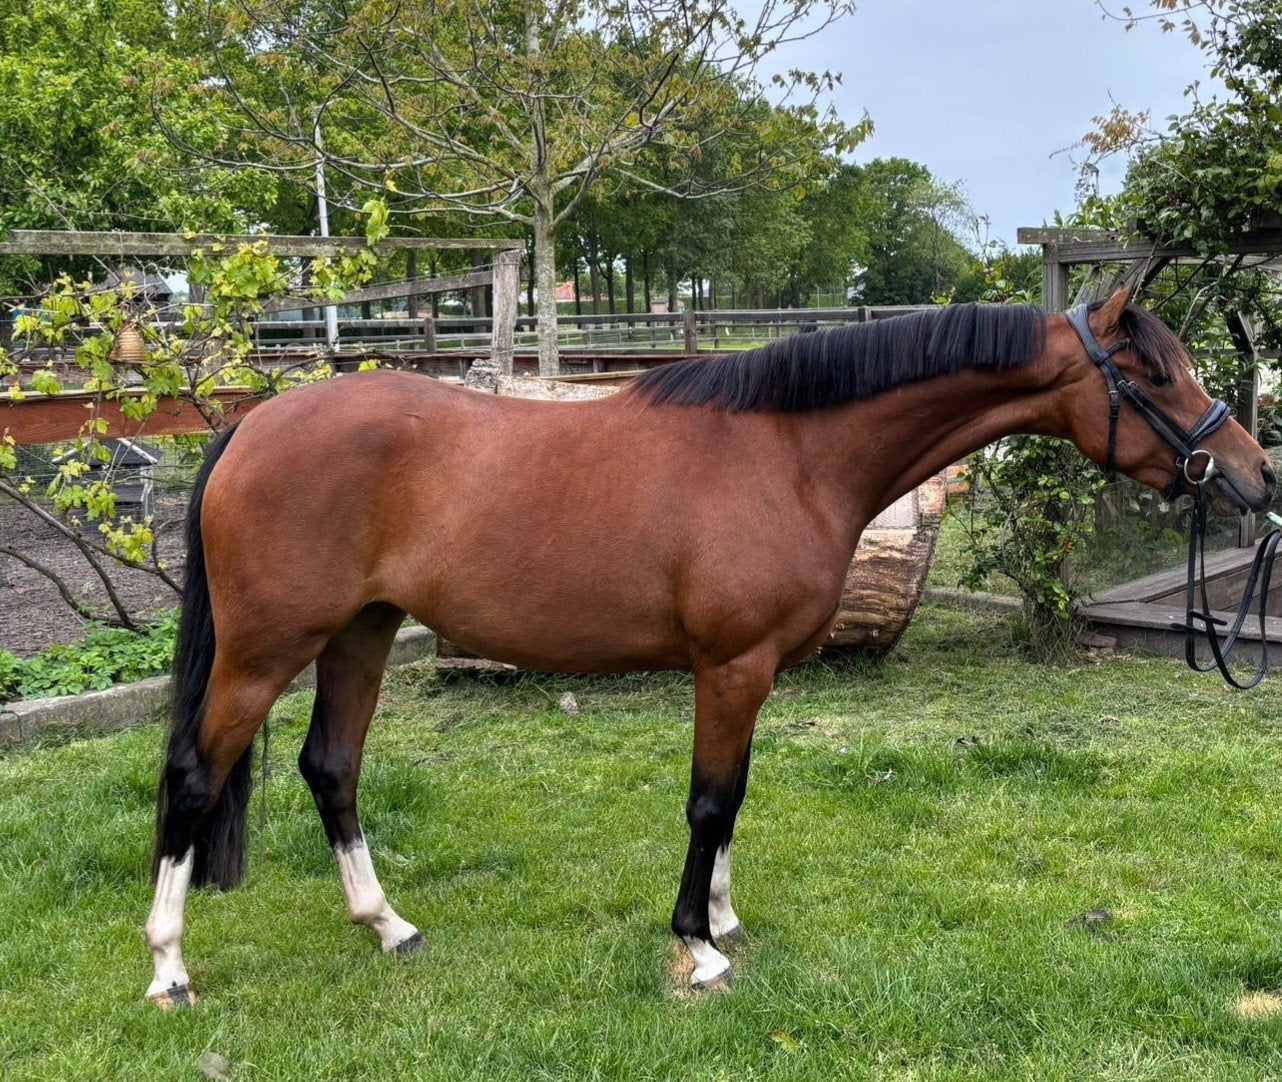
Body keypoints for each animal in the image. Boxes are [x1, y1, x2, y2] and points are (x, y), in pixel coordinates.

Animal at [145, 286, 1275, 1006]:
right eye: (1157, 376)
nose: (1257, 477)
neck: (789, 454)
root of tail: (249, 428)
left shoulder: (755, 673)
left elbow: (734, 797)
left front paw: (723, 921)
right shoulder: (729, 666)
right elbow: (707, 801)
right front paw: (698, 947)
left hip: (361, 634)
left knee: (331, 767)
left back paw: (389, 926)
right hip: (265, 649)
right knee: (196, 776)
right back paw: (168, 968)